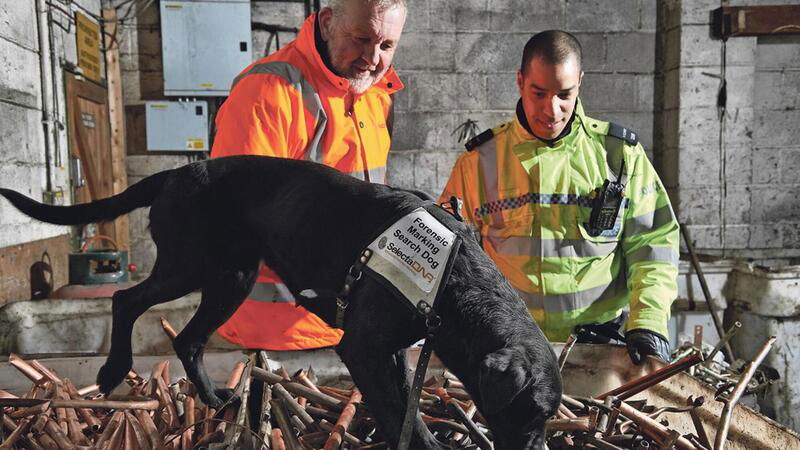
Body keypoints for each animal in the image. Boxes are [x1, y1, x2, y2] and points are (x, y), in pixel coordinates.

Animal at [0, 156, 560, 448]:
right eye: (529, 413)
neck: (453, 278)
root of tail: (179, 173)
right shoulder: (363, 348)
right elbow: (399, 411)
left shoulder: (396, 350)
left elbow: (404, 405)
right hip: (189, 265)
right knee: (124, 299)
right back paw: (115, 369)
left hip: (232, 278)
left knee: (187, 340)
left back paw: (214, 400)